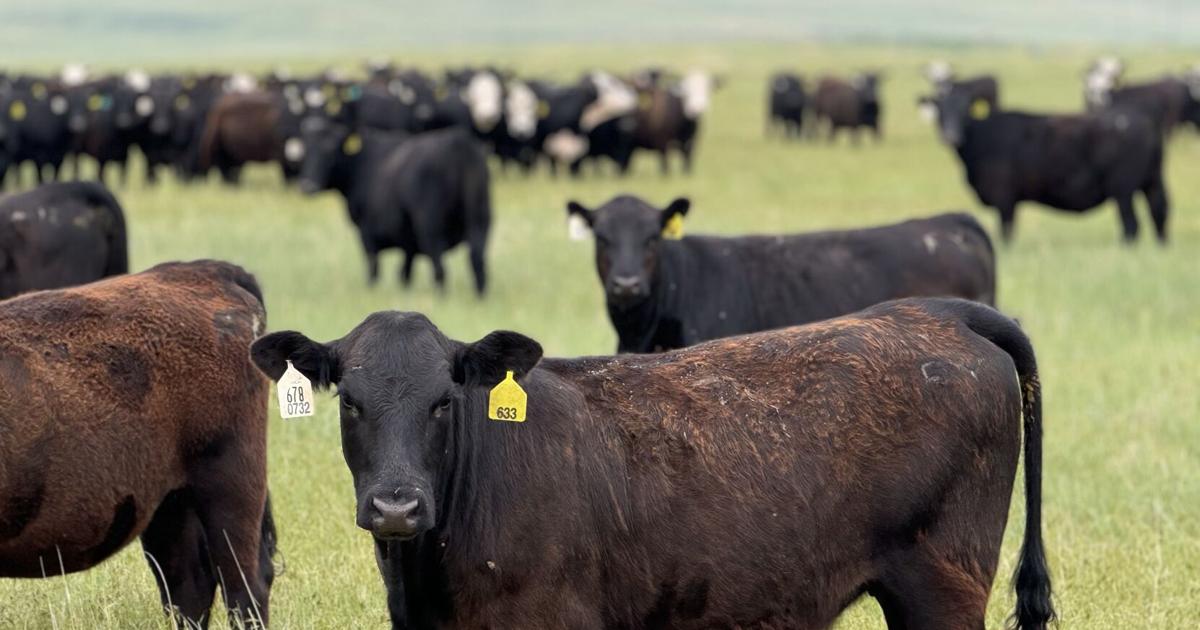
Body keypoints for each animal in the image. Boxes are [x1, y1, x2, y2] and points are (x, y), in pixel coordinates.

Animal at [296, 122, 491, 295]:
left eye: (329, 151)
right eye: (307, 151)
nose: (308, 186)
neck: (360, 164)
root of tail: (459, 142)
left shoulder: (367, 233)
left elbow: (374, 270)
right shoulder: (408, 242)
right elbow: (405, 273)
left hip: (431, 228)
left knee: (441, 270)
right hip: (480, 219)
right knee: (477, 263)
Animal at [932, 83, 1169, 243]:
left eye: (964, 109)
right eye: (940, 110)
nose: (950, 136)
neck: (981, 136)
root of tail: (1144, 121)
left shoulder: (1005, 200)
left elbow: (1006, 233)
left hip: (1123, 190)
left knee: (1132, 225)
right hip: (1152, 181)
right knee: (1159, 212)